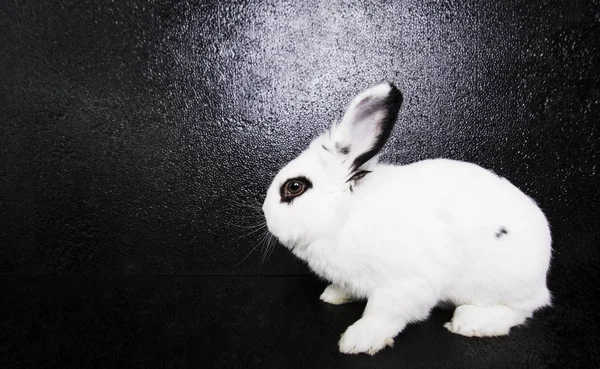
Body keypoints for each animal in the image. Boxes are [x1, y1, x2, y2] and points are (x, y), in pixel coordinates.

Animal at [262, 82, 552, 354]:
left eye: (294, 187)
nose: (266, 215)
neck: (344, 216)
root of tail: (542, 277)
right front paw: (333, 295)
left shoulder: (404, 284)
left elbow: (382, 313)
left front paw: (358, 340)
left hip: (500, 285)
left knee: (521, 309)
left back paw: (468, 321)